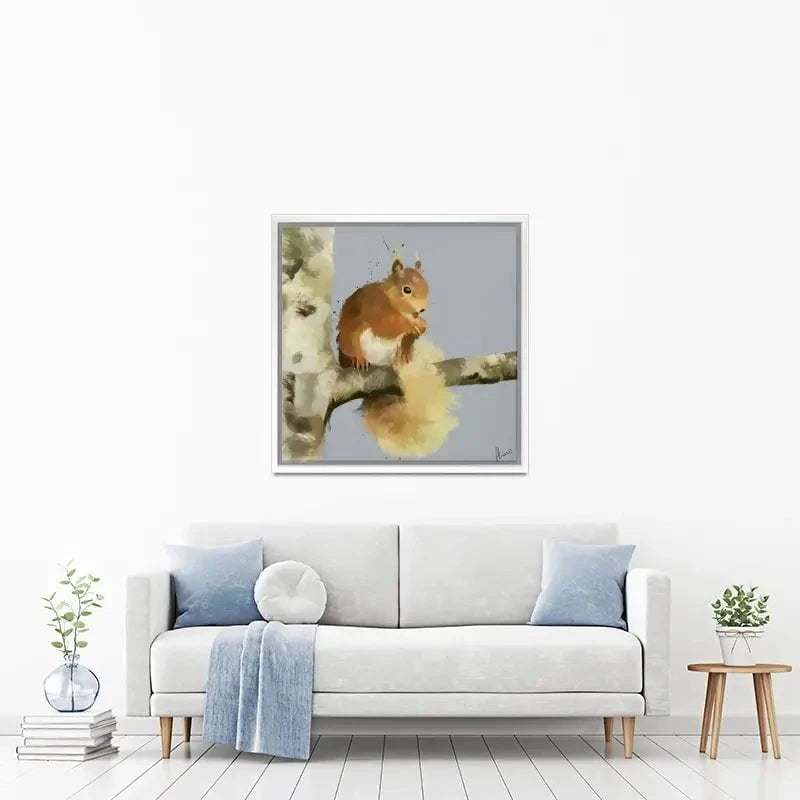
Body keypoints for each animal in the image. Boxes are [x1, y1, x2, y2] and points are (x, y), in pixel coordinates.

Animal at [336, 253, 458, 456]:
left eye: (427, 286)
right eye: (406, 289)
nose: (422, 310)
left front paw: (420, 326)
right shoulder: (375, 307)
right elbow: (387, 324)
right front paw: (413, 323)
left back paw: (402, 356)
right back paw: (360, 359)